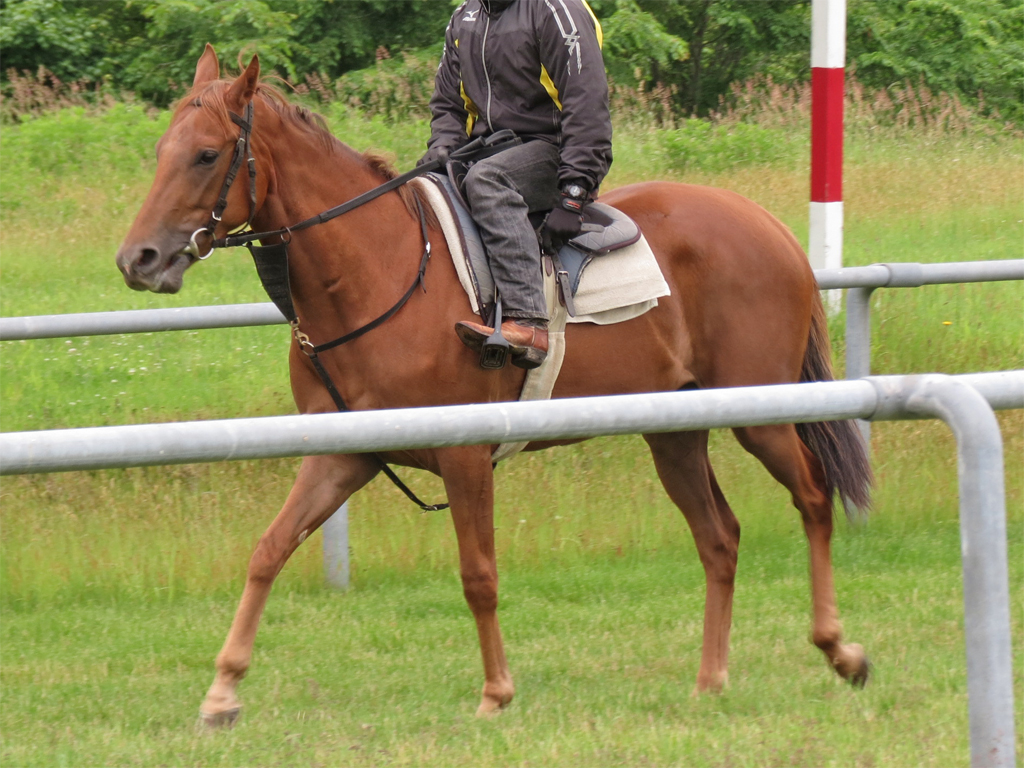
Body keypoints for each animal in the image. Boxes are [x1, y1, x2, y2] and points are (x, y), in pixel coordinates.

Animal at [117, 49, 872, 729]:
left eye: (206, 154)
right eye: (160, 151)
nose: (138, 259)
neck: (379, 268)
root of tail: (769, 227)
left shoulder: (464, 455)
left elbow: (478, 574)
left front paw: (496, 692)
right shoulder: (344, 454)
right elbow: (268, 552)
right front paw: (222, 690)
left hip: (762, 417)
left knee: (813, 496)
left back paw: (839, 648)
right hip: (674, 434)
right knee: (719, 538)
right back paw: (711, 679)